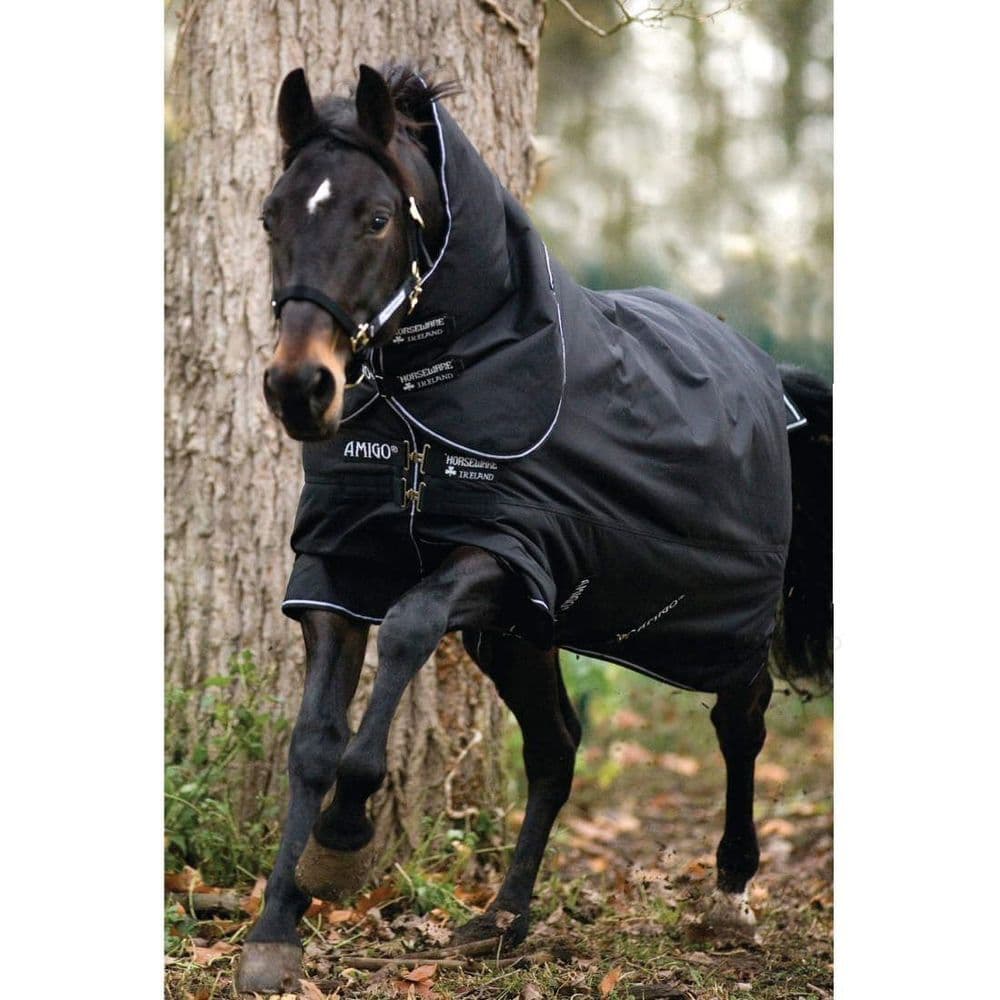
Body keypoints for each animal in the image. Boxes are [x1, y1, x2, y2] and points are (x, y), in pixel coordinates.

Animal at [236, 63, 833, 994]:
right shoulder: (338, 568)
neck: (429, 402)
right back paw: (503, 918)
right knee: (556, 748)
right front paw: (276, 926)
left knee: (741, 723)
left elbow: (406, 627)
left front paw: (341, 841)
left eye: (376, 218)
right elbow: (312, 742)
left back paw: (731, 895)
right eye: (272, 214)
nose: (301, 389)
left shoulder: (513, 554)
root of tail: (770, 375)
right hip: (519, 635)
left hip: (716, 619)